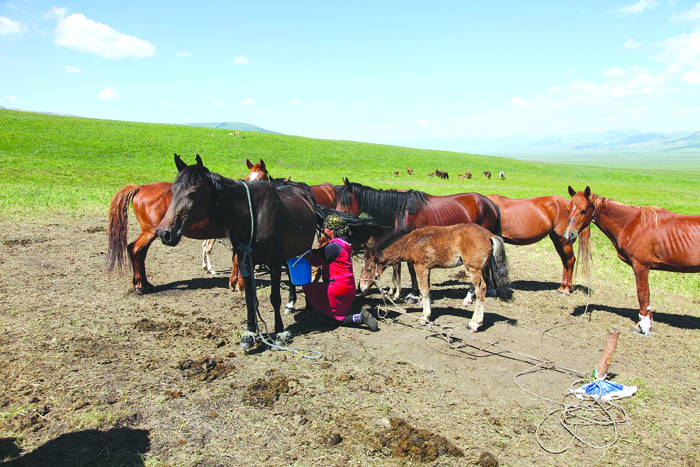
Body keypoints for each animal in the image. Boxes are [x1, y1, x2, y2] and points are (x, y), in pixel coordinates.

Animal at [157, 155, 318, 350]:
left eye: (193, 193)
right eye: (173, 190)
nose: (164, 233)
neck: (252, 215)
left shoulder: (272, 263)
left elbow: (274, 298)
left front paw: (280, 333)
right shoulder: (245, 260)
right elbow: (249, 298)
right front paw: (250, 333)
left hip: (304, 248)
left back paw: (308, 307)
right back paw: (291, 303)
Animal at [370, 224, 512, 330]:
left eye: (368, 269)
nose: (367, 284)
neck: (412, 241)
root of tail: (490, 235)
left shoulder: (421, 267)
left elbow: (424, 290)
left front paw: (424, 317)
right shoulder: (427, 269)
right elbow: (427, 290)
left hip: (474, 269)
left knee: (481, 289)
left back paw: (474, 323)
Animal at [564, 186, 700, 336]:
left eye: (583, 210)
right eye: (568, 209)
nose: (568, 235)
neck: (632, 224)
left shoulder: (641, 266)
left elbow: (642, 294)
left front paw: (642, 326)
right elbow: (647, 294)